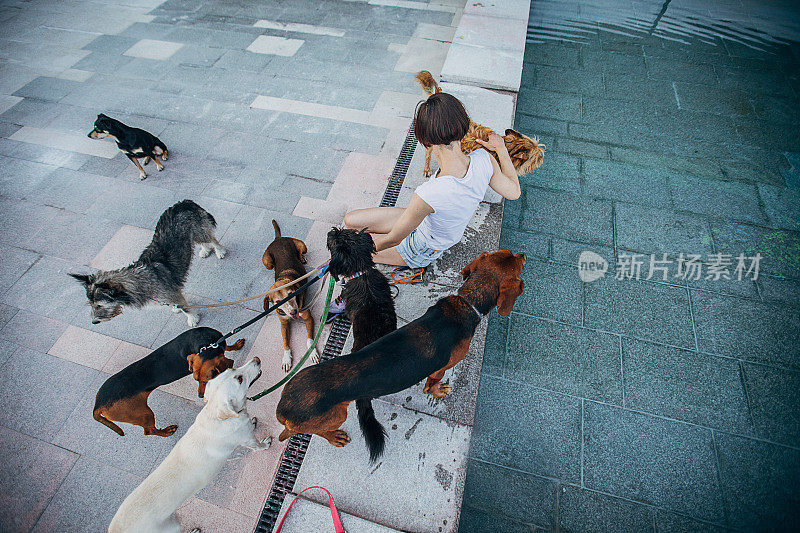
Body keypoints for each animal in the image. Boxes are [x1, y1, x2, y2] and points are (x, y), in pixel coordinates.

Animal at [108, 358, 270, 532]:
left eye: (231, 369)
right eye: (239, 379)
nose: (256, 359)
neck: (216, 415)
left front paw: (253, 421)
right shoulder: (247, 439)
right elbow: (258, 445)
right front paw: (265, 444)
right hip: (172, 526)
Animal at [262, 218, 318, 372]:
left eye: (291, 294)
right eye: (278, 302)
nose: (293, 311)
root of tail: (278, 239)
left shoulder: (308, 318)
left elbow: (310, 340)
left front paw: (313, 353)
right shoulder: (283, 323)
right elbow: (286, 344)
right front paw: (286, 359)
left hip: (301, 245)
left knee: (300, 252)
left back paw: (302, 258)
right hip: (267, 262)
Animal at [412, 70, 544, 179]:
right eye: (537, 157)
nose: (542, 159)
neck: (506, 147)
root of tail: (435, 95)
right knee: (428, 154)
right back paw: (427, 169)